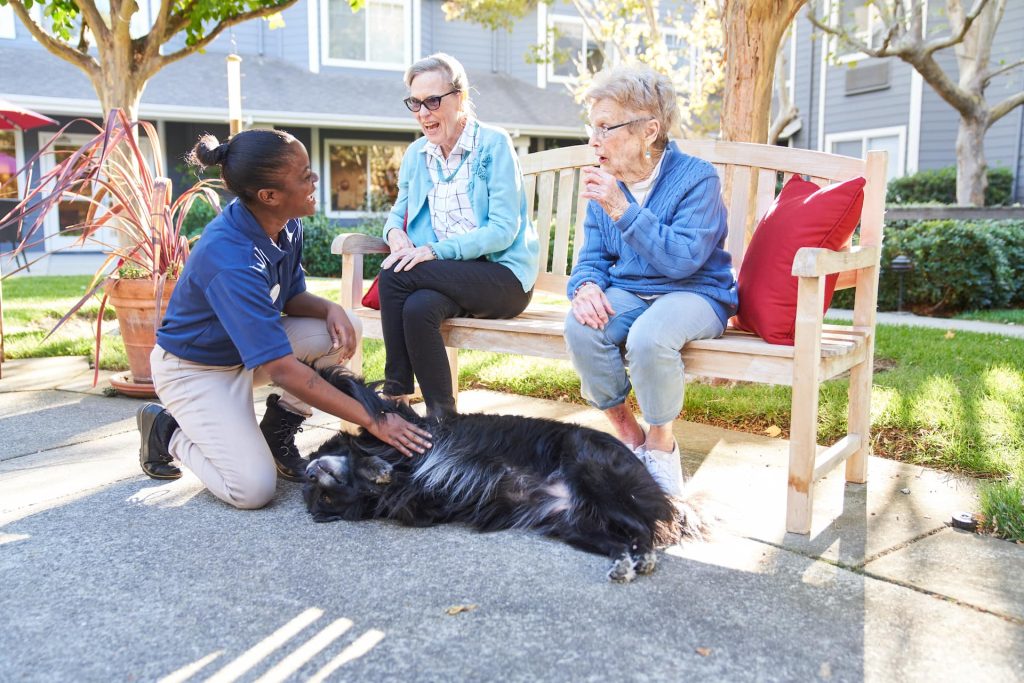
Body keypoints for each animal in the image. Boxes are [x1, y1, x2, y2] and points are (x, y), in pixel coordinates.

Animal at [303, 368, 704, 581]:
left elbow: (351, 391)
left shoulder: (402, 422)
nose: (308, 475)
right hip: (573, 525)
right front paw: (380, 474)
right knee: (622, 540)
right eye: (324, 498)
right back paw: (624, 563)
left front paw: (376, 466)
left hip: (593, 472)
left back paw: (645, 556)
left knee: (643, 528)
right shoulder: (425, 505)